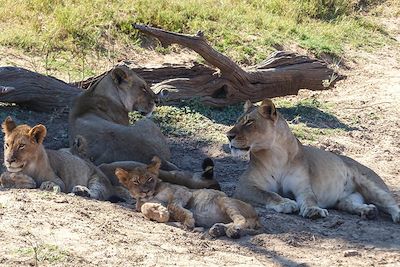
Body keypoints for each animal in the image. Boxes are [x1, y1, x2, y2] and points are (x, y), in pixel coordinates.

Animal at [114, 157, 260, 239]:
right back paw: (219, 229)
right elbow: (145, 207)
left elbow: (172, 205)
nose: (145, 191)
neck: (153, 194)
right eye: (136, 181)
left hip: (224, 199)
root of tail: (256, 216)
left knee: (240, 219)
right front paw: (161, 213)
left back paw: (231, 230)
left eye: (150, 179)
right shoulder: (142, 204)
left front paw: (187, 219)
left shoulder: (183, 191)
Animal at [227, 99, 398, 223]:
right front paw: (286, 203)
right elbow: (268, 194)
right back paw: (368, 211)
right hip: (347, 198)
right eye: (237, 121)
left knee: (392, 203)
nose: (228, 136)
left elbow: (309, 199)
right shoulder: (244, 186)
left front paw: (313, 210)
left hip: (372, 185)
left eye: (249, 122)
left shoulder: (303, 187)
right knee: (347, 203)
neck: (275, 155)